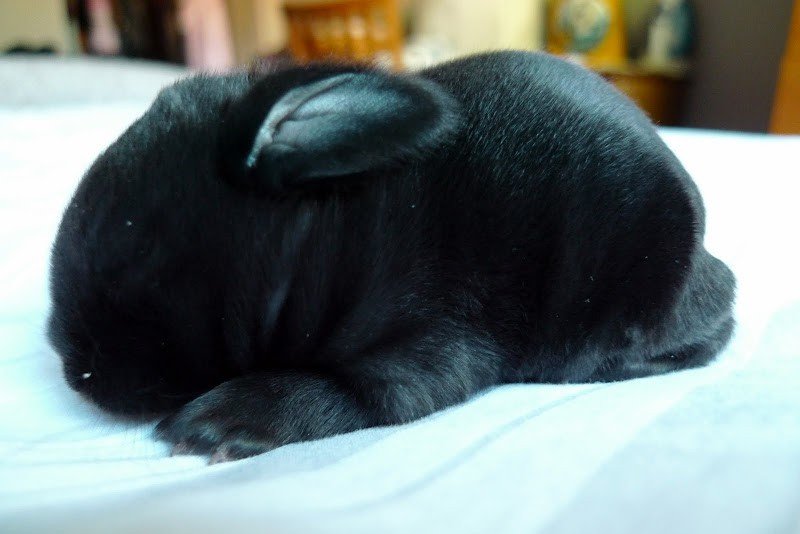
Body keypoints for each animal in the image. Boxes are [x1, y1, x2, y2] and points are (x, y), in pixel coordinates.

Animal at [47, 51, 735, 463]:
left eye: (129, 257)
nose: (67, 362)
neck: (335, 235)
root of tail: (711, 258)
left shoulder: (423, 349)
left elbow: (331, 391)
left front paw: (219, 421)